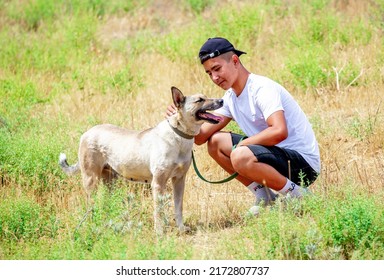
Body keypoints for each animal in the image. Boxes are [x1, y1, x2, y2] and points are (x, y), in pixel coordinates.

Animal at [58, 86, 224, 234]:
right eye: (200, 100)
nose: (222, 100)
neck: (180, 135)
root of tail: (86, 133)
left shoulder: (179, 180)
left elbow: (178, 207)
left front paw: (181, 229)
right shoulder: (158, 183)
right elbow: (158, 210)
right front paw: (159, 233)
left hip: (110, 181)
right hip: (91, 180)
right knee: (90, 206)